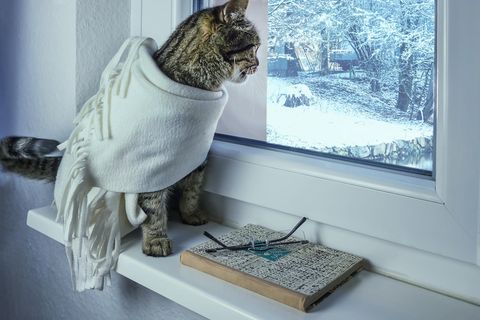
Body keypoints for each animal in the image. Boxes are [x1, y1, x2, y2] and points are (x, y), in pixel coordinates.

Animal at [0, 0, 260, 258]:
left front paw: (190, 213)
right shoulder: (149, 167)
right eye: (255, 47)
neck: (200, 86)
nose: (258, 64)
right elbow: (153, 208)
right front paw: (156, 239)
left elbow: (193, 189)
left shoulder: (196, 155)